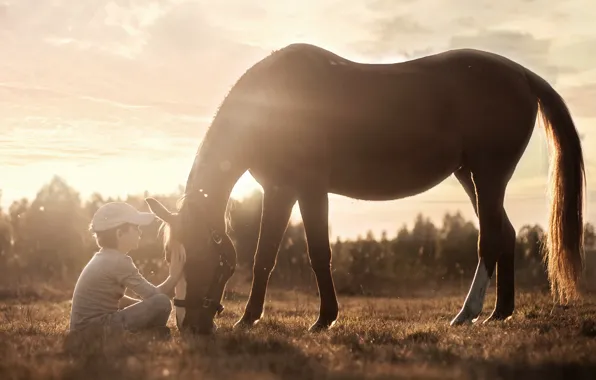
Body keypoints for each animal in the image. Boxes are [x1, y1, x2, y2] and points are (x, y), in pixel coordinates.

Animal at [146, 43, 588, 336]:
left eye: (200, 257)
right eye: (169, 256)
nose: (187, 325)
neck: (274, 104)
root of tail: (521, 74)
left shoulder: (310, 189)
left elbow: (318, 253)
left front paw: (324, 318)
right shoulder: (279, 189)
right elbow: (264, 256)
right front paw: (249, 317)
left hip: (488, 174)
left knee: (490, 240)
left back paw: (468, 312)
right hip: (470, 176)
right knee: (506, 235)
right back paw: (500, 312)